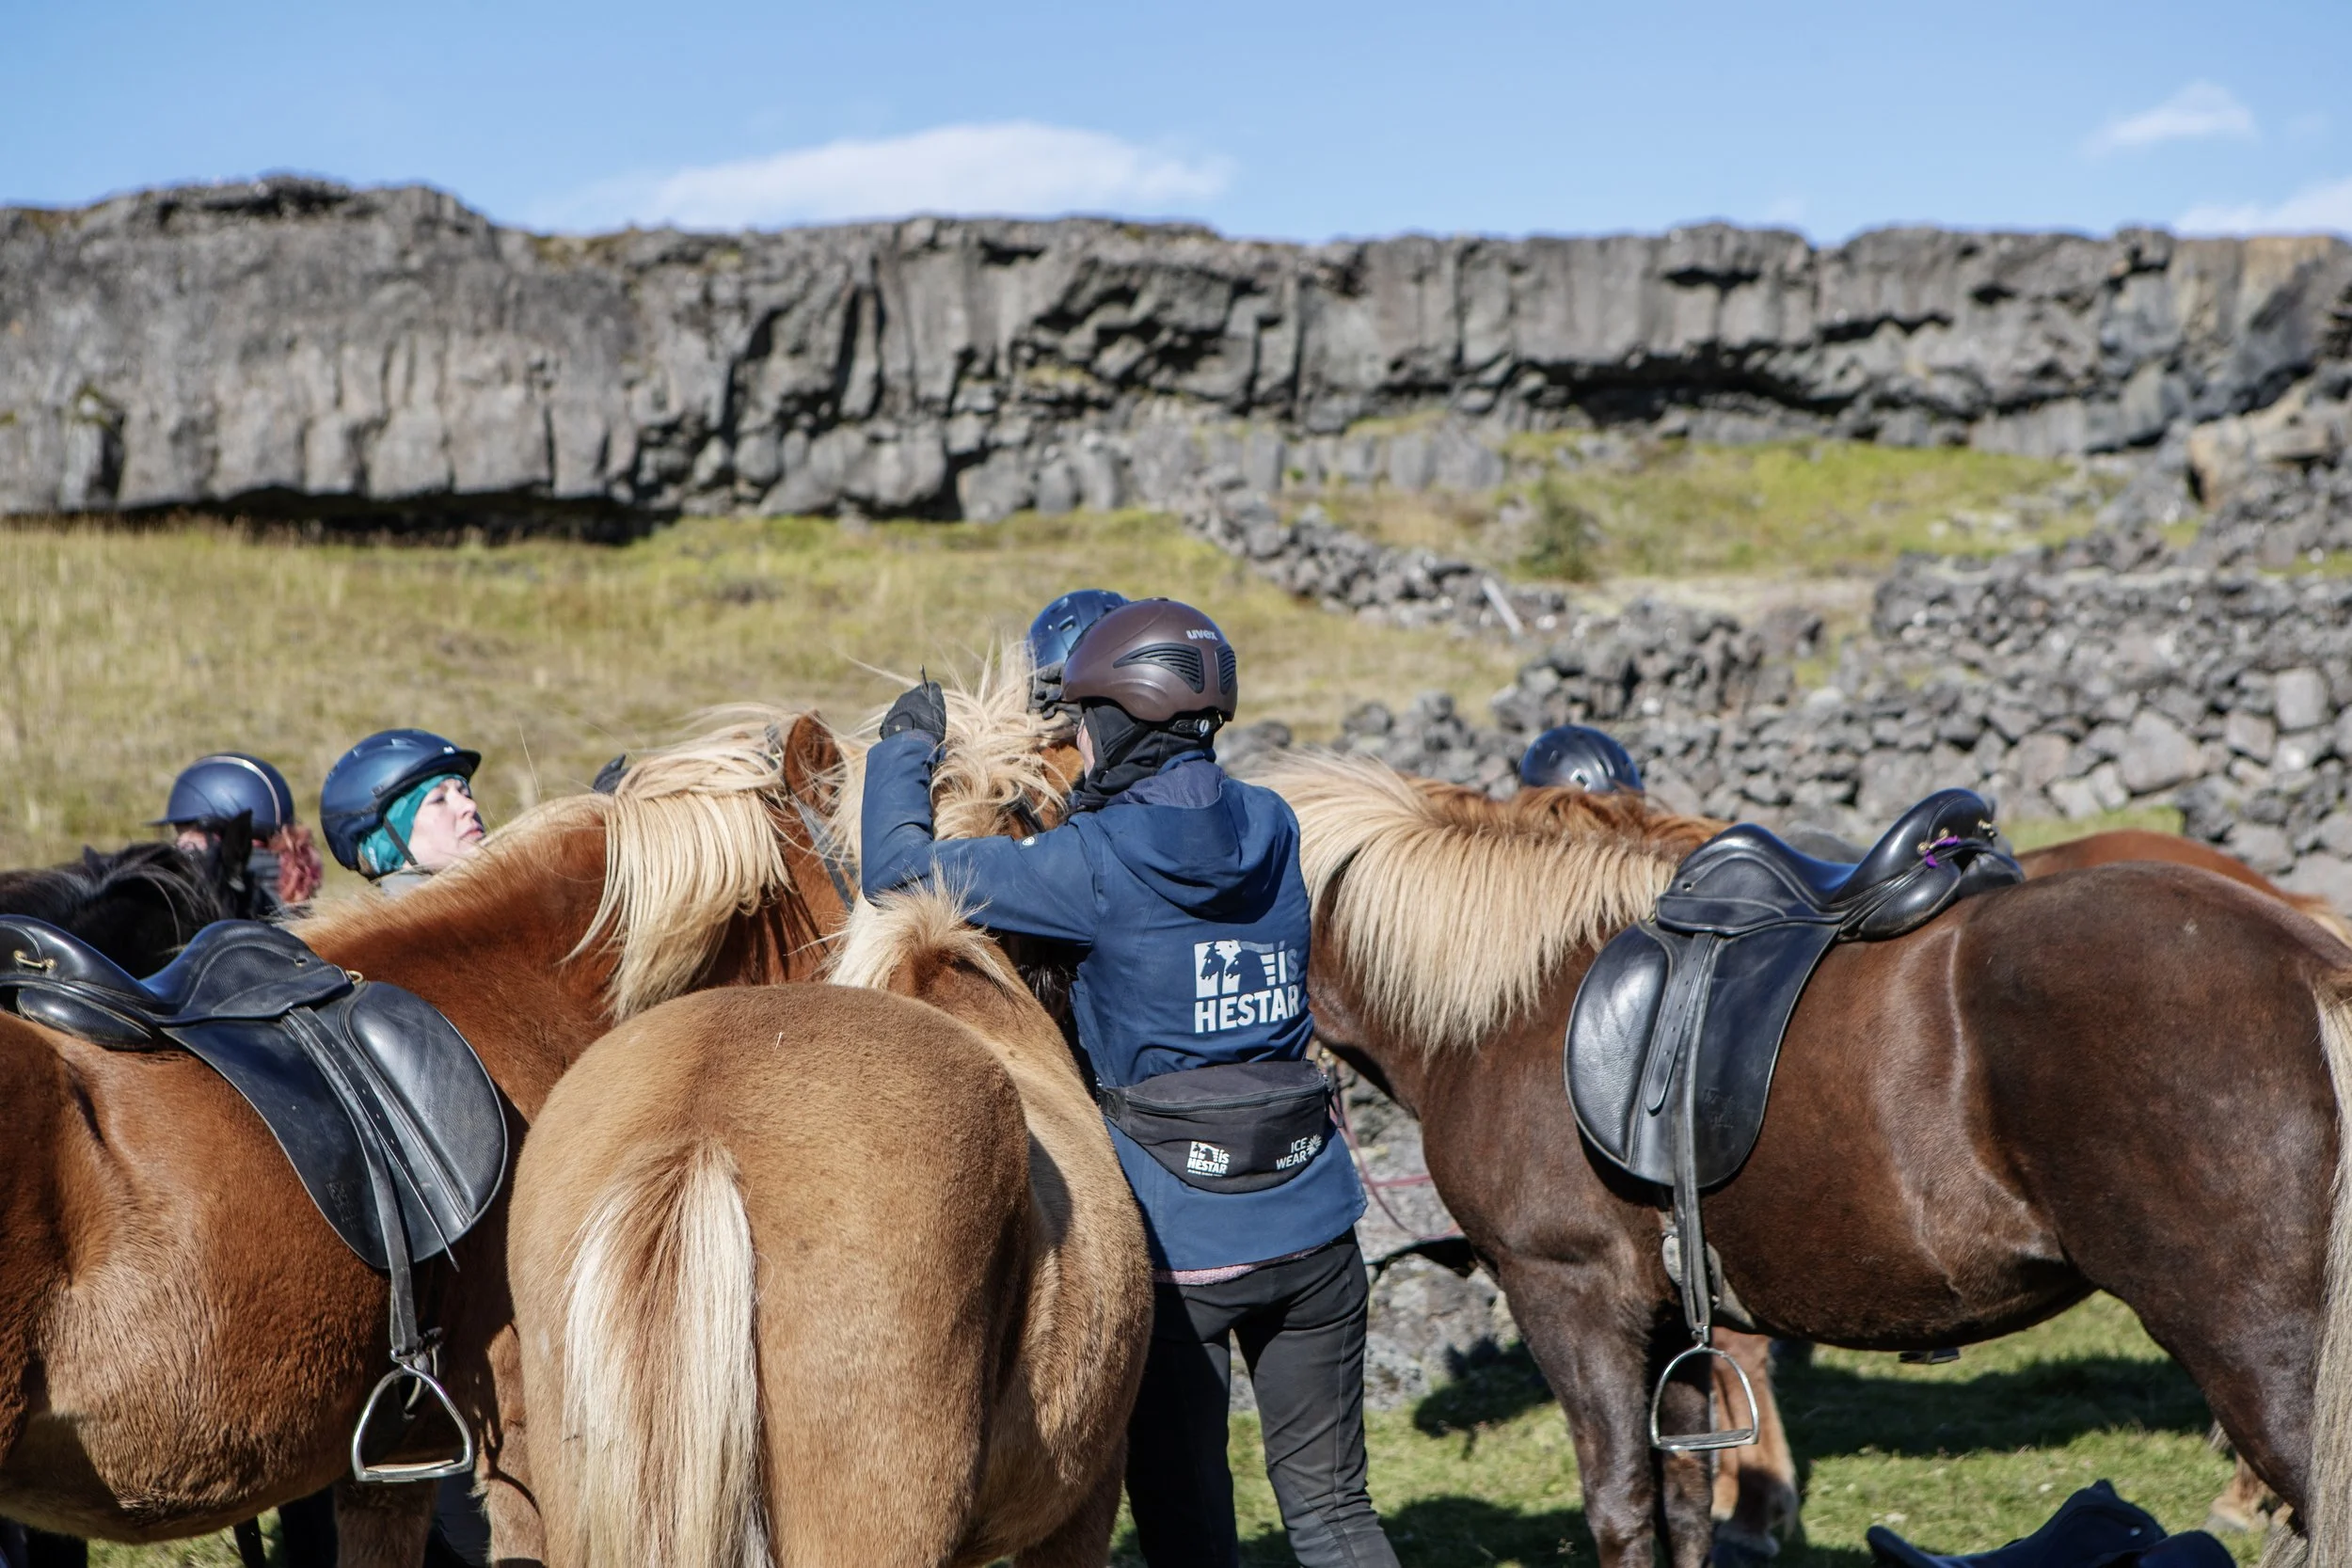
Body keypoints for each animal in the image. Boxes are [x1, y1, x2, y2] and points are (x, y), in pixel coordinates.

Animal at [1266, 754, 2352, 1568]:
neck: (1511, 998)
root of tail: (2307, 954)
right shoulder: (1667, 1311)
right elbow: (1683, 1500)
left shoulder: (1567, 1293)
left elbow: (1619, 1504)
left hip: (2259, 1344)